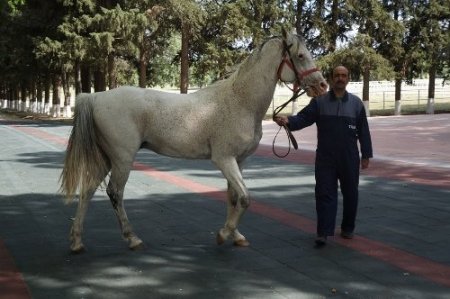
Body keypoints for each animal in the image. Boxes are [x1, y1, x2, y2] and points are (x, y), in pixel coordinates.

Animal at [59, 29, 326, 253]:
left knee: (88, 191)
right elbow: (245, 198)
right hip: (122, 159)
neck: (240, 101)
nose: (322, 85)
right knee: (115, 193)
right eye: (300, 55)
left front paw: (236, 235)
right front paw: (223, 234)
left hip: (107, 158)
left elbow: (234, 198)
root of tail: (95, 97)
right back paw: (132, 238)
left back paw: (76, 241)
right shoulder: (224, 160)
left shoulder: (239, 161)